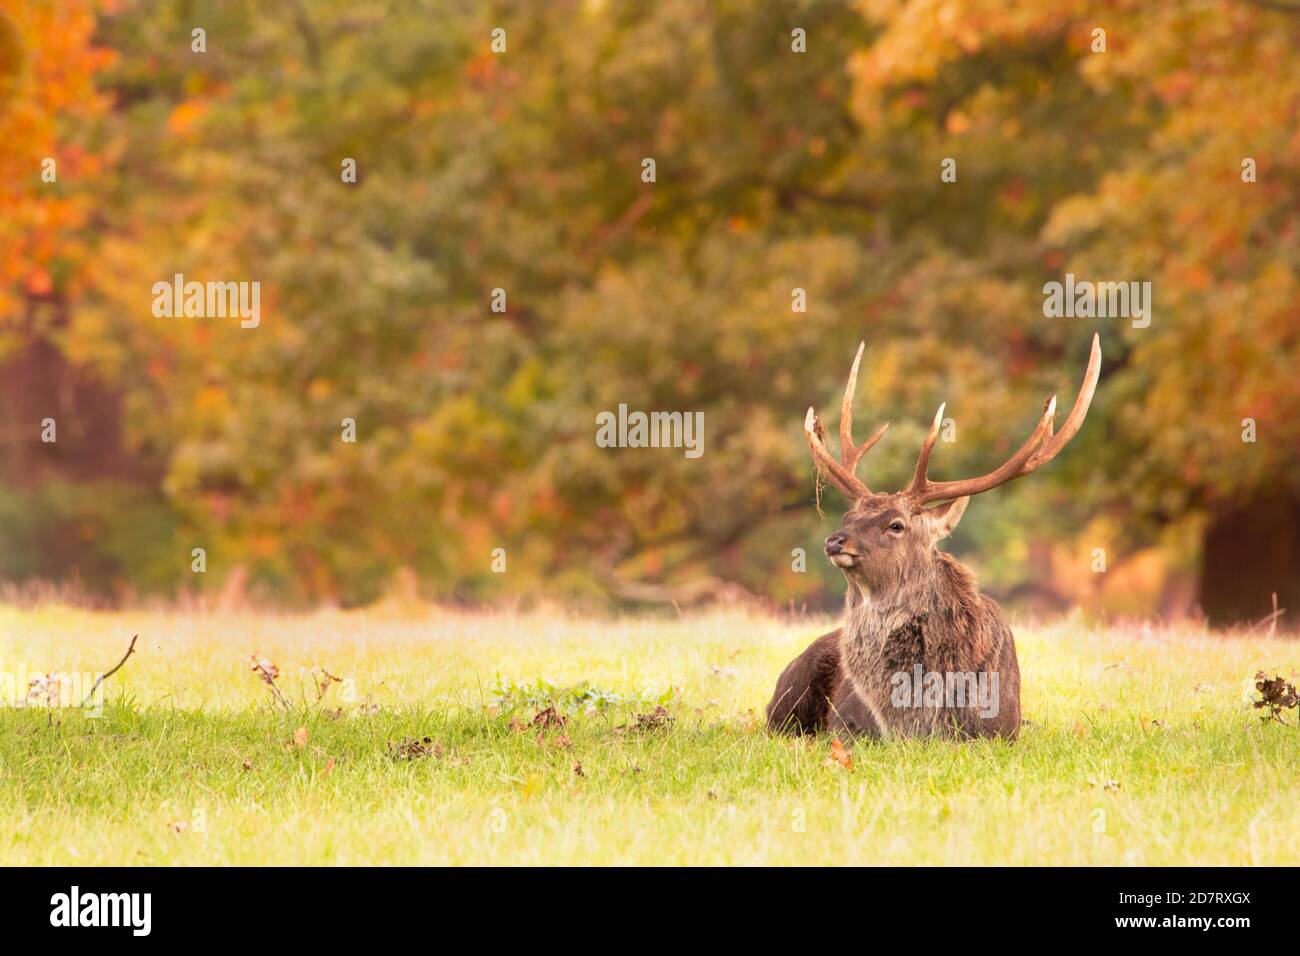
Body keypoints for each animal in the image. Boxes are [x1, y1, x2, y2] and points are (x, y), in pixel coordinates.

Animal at [767, 334, 1100, 740]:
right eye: (848, 516)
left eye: (896, 525)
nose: (835, 541)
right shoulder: (847, 728)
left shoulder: (1001, 731)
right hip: (787, 697)